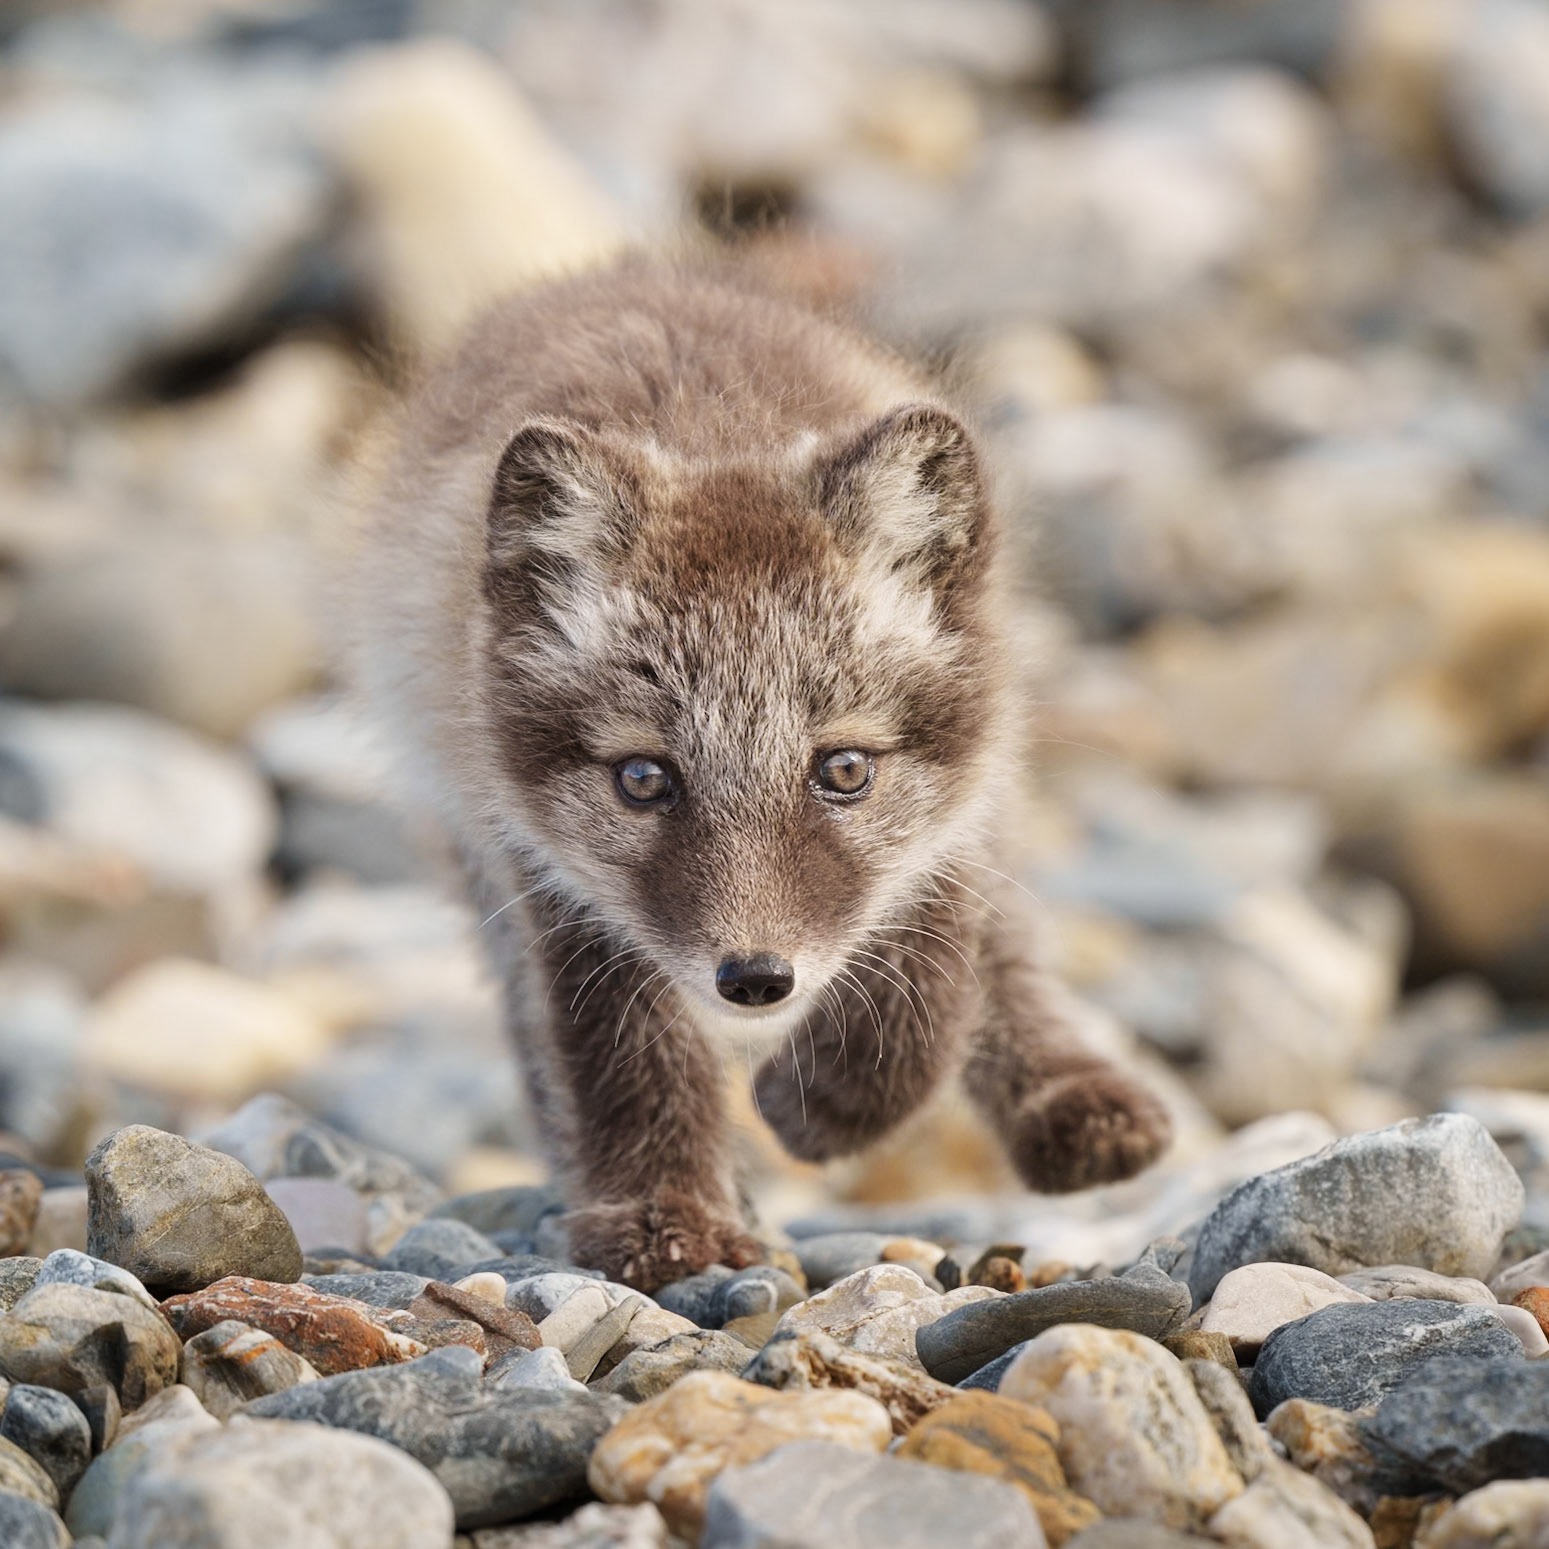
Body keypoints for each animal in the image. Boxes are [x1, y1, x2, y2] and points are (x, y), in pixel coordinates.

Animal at [354, 256, 1171, 1291]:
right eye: (642, 779)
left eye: (844, 769)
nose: (755, 980)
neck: (716, 432)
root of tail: (609, 276)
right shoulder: (549, 873)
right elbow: (620, 1047)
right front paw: (665, 1217)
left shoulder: (950, 819)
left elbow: (934, 979)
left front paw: (825, 1106)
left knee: (1006, 949)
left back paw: (1074, 1098)